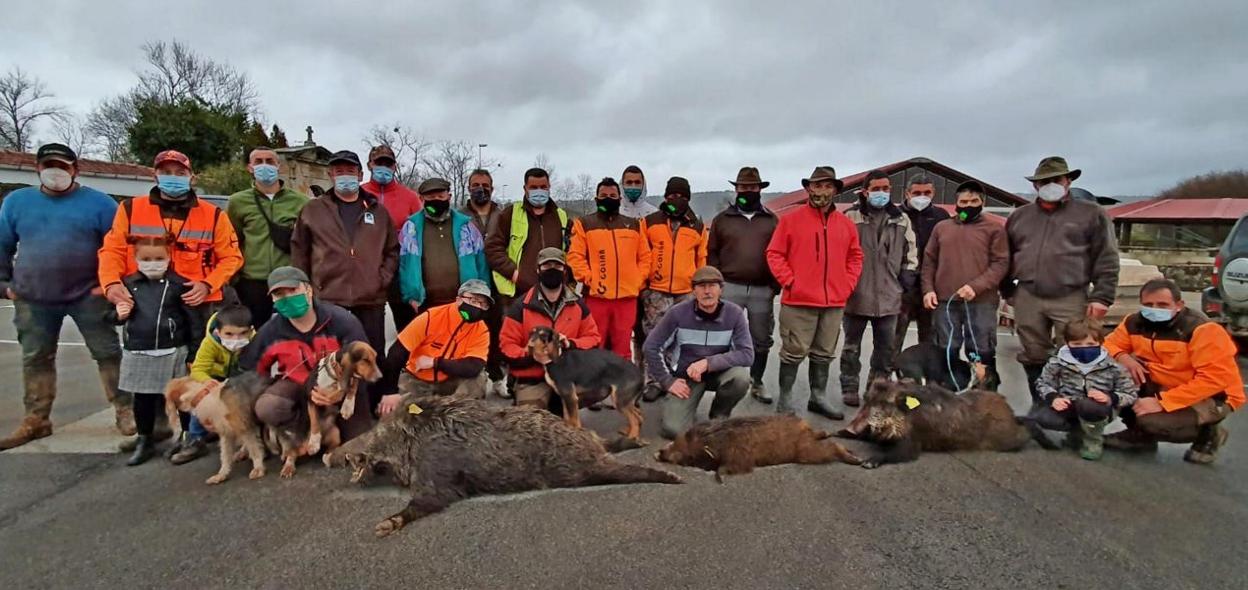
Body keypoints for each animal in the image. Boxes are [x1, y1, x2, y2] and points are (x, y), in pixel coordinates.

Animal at [324, 394, 683, 536]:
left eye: (382, 429)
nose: (330, 455)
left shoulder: (439, 480)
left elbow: (422, 504)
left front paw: (383, 527)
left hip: (581, 469)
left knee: (621, 467)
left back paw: (672, 476)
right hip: (590, 450)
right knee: (613, 444)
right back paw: (640, 444)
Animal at [658, 414, 863, 483]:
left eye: (685, 454)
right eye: (675, 440)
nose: (659, 452)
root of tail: (804, 426)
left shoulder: (741, 460)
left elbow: (724, 469)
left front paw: (720, 479)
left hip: (807, 451)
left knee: (833, 446)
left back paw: (857, 459)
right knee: (825, 436)